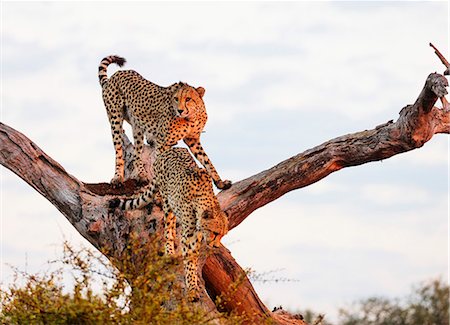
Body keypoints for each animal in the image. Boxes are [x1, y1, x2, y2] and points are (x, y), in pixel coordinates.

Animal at [99, 54, 232, 189]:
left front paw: (220, 182)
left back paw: (142, 174)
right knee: (119, 150)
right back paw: (118, 178)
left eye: (188, 99)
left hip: (137, 125)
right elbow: (160, 166)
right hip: (115, 120)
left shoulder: (192, 139)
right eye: (176, 99)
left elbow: (207, 160)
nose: (180, 110)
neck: (191, 117)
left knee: (137, 151)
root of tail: (116, 74)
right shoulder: (162, 143)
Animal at [109, 147, 229, 302]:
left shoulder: (196, 236)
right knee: (168, 228)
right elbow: (190, 262)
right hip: (167, 202)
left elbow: (194, 260)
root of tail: (171, 149)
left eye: (222, 235)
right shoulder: (188, 236)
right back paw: (170, 251)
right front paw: (192, 289)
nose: (216, 246)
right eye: (215, 233)